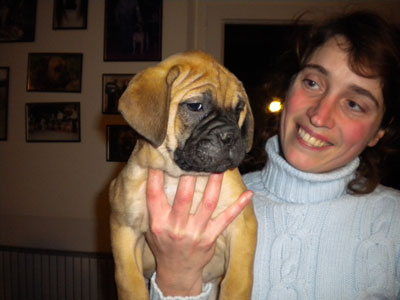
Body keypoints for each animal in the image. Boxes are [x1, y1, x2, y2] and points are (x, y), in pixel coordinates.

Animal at [109, 50, 258, 298]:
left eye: (239, 109)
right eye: (195, 106)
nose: (229, 136)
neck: (177, 177)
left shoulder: (242, 225)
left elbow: (237, 281)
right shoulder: (124, 229)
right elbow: (129, 282)